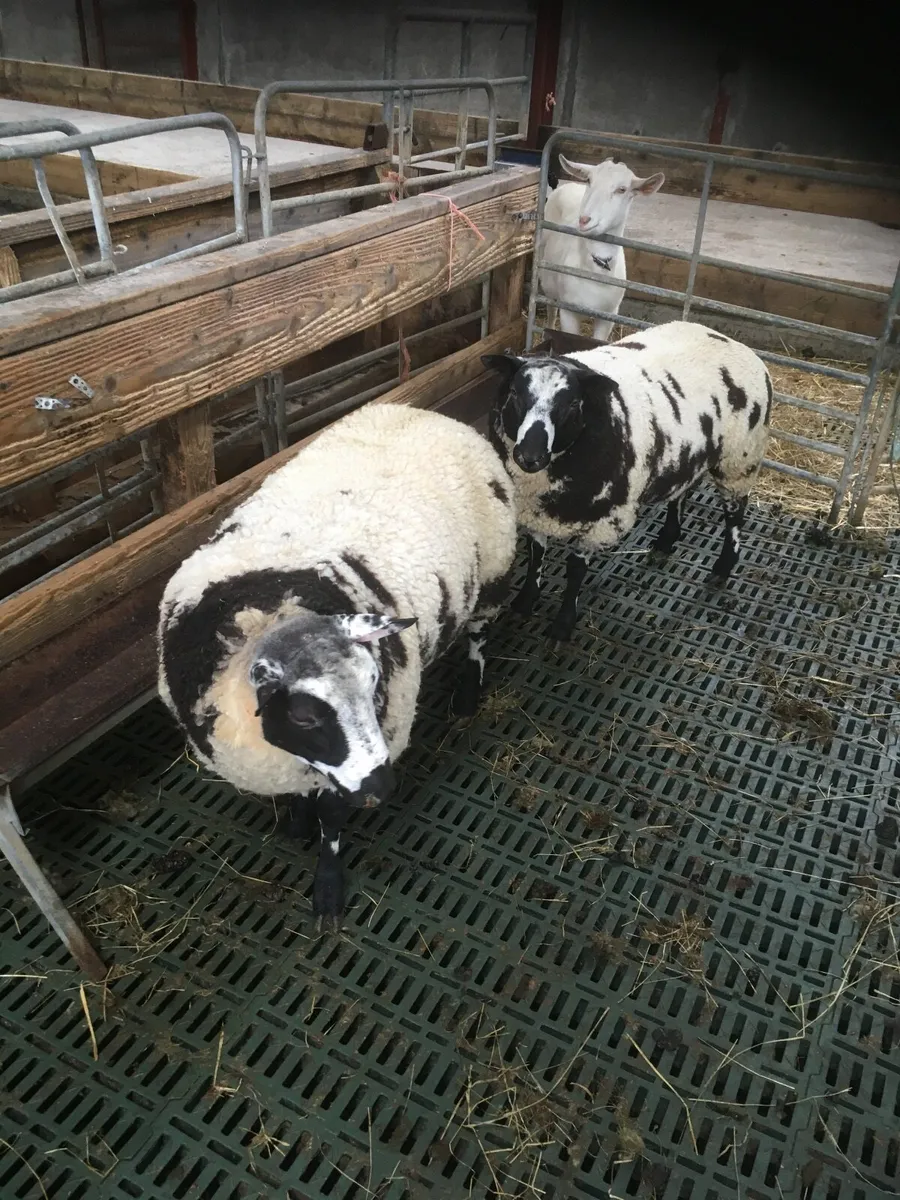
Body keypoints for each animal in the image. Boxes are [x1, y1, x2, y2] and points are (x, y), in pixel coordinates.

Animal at [157, 402, 517, 928]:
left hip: (492, 567)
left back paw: (468, 696)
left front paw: (327, 888)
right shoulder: (293, 765)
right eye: (304, 715)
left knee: (478, 636)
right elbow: (301, 799)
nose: (381, 786)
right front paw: (296, 826)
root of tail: (419, 410)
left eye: (373, 684)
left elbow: (332, 823)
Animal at [483, 320, 772, 641]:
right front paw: (523, 603)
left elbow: (575, 571)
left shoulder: (602, 520)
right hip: (689, 456)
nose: (529, 456)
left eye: (573, 404)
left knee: (734, 514)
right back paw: (666, 540)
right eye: (514, 393)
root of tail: (738, 345)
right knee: (681, 492)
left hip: (740, 458)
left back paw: (723, 568)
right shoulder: (533, 510)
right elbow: (536, 556)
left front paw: (563, 624)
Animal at [540, 156, 665, 342]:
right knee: (551, 310)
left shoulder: (609, 315)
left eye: (622, 189)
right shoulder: (568, 311)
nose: (584, 220)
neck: (595, 269)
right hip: (548, 282)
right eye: (589, 180)